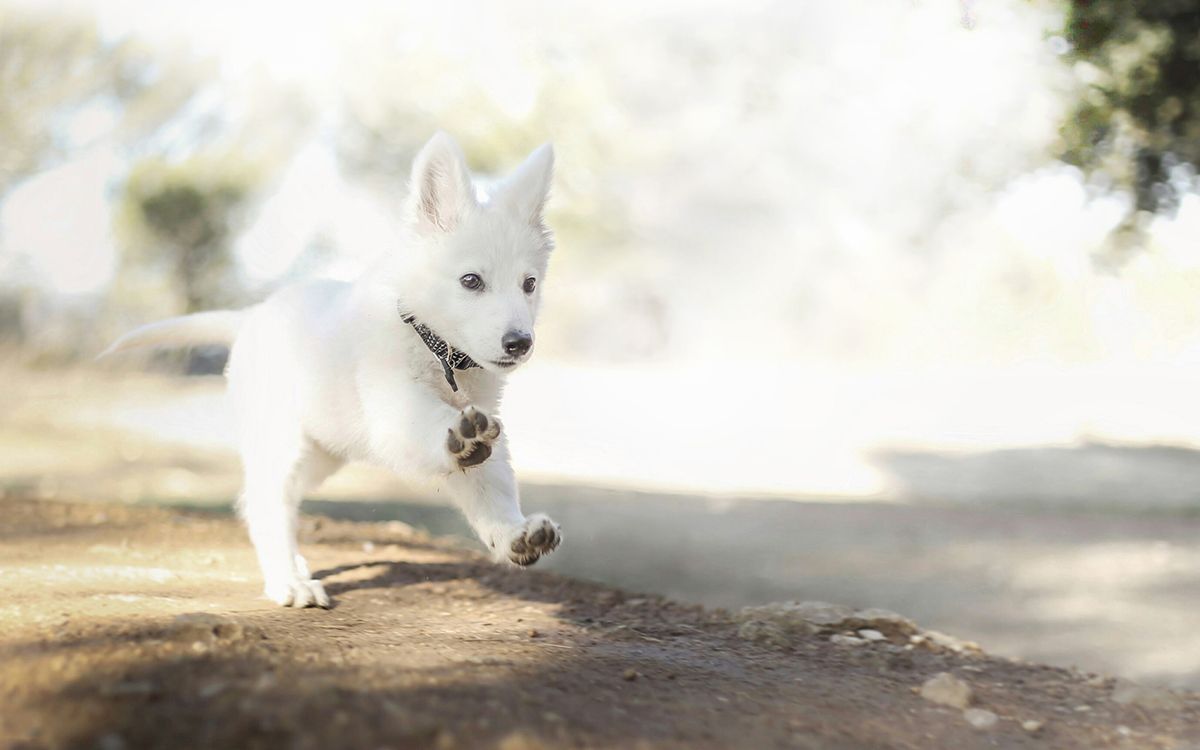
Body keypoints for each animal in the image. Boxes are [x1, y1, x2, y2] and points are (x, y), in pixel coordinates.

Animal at [105, 131, 564, 604]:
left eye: (529, 284)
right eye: (471, 281)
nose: (520, 343)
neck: (437, 348)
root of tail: (249, 317)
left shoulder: (481, 428)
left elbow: (490, 485)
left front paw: (513, 535)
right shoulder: (395, 413)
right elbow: (437, 425)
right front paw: (462, 437)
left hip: (321, 451)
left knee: (276, 499)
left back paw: (294, 565)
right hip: (282, 443)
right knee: (265, 502)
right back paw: (288, 581)